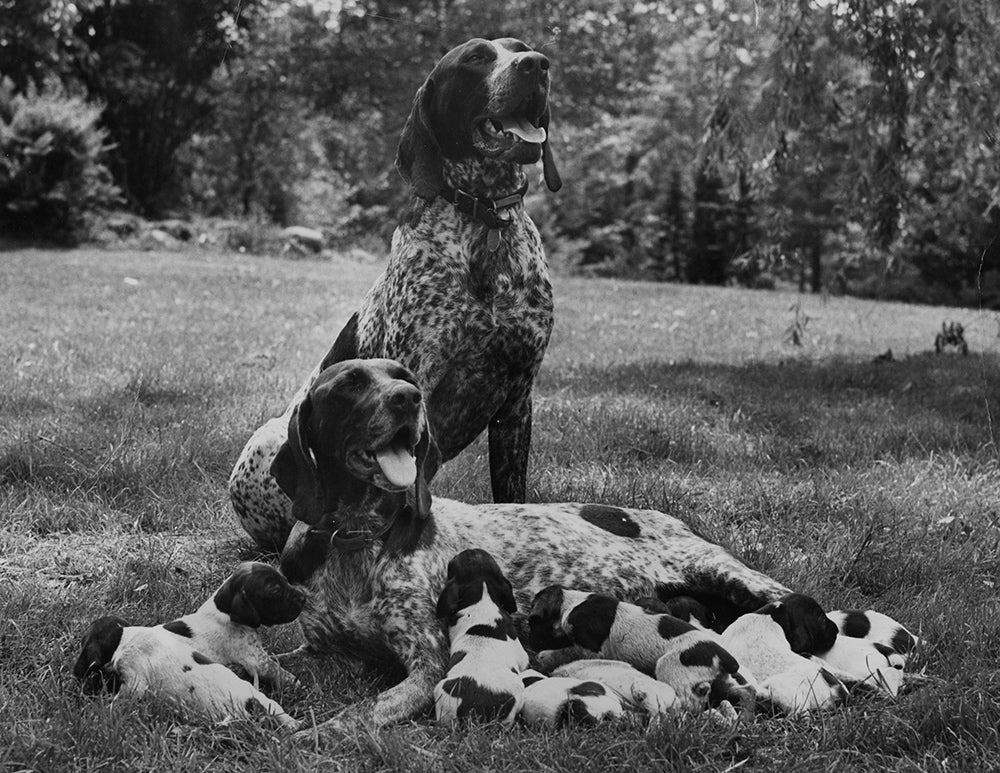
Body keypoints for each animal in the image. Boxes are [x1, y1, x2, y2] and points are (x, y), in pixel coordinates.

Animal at [229, 36, 568, 552]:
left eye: (521, 49)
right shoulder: (416, 376)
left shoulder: (517, 401)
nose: (537, 64)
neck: (484, 220)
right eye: (476, 58)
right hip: (267, 440)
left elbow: (512, 495)